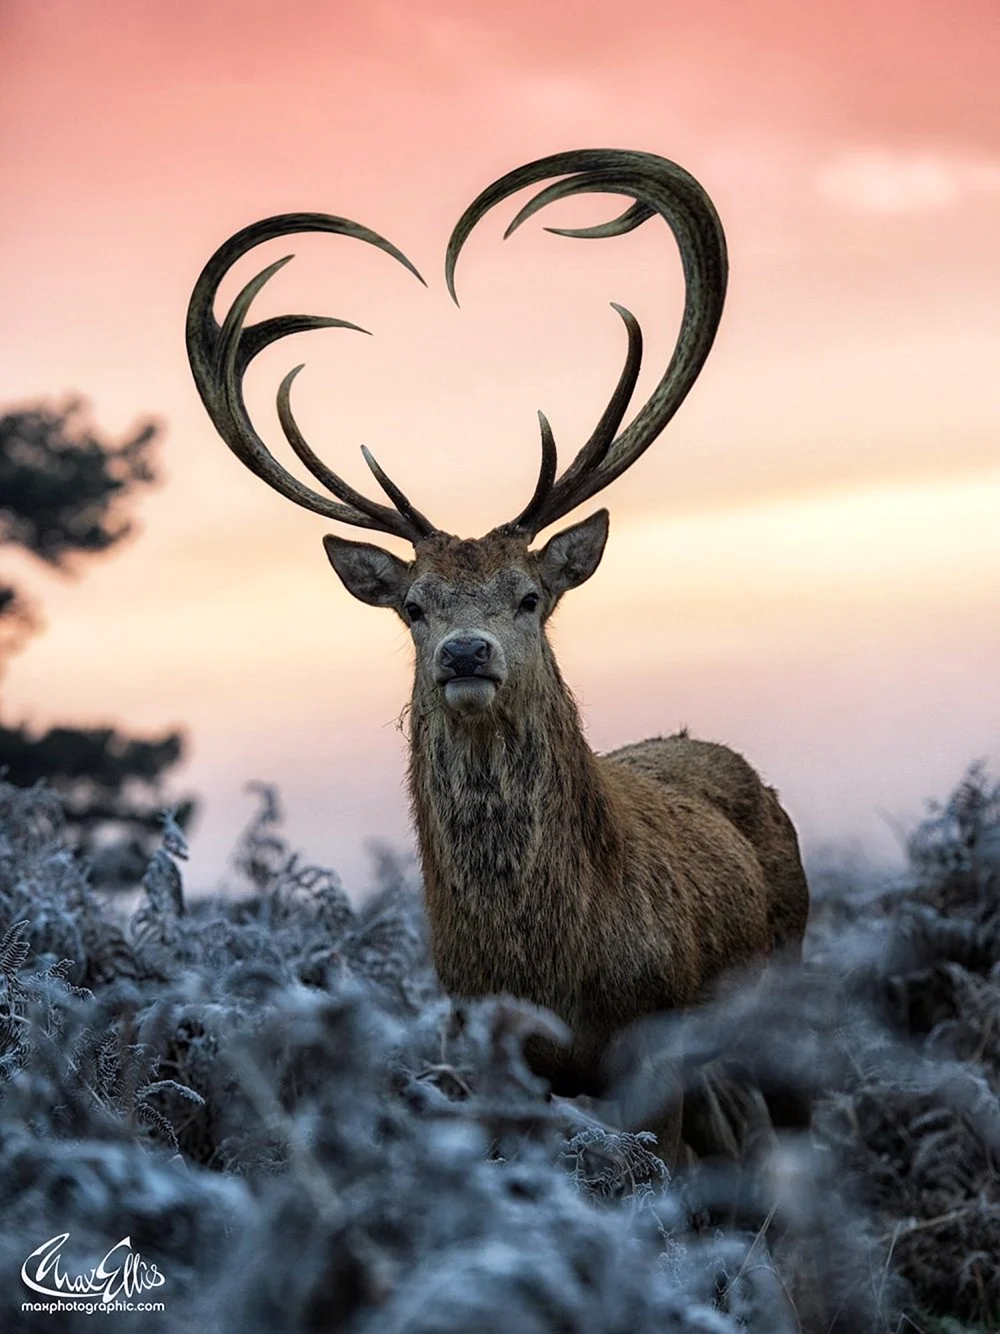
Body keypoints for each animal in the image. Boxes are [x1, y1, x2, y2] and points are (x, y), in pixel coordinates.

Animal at [186, 149, 810, 1159]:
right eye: (412, 607)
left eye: (529, 596)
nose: (466, 652)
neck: (552, 969)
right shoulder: (483, 1054)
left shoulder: (656, 1043)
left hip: (790, 977)